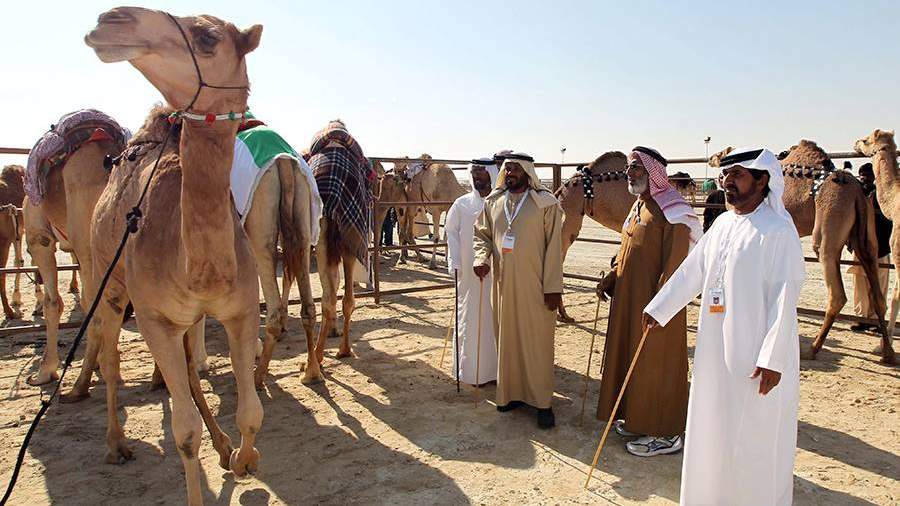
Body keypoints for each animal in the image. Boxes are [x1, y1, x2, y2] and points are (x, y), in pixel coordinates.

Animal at [81, 7, 266, 502]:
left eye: (206, 37)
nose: (109, 19)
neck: (200, 273)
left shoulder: (240, 309)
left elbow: (251, 411)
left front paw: (243, 459)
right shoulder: (154, 319)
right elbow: (183, 434)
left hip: (184, 316)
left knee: (188, 364)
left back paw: (221, 445)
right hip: (108, 282)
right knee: (109, 356)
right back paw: (115, 444)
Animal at [712, 141, 892, 364]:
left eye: (725, 160)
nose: (716, 162)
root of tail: (857, 193)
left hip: (827, 228)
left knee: (836, 292)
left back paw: (811, 350)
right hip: (866, 235)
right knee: (878, 293)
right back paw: (887, 352)